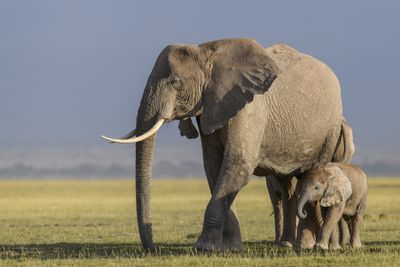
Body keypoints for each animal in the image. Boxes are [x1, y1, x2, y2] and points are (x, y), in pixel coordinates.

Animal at [101, 38, 342, 252]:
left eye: (175, 82)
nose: (153, 248)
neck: (206, 52)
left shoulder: (250, 108)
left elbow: (237, 164)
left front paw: (204, 247)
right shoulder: (210, 107)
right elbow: (214, 168)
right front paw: (230, 248)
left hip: (330, 128)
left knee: (312, 173)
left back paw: (305, 245)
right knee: (286, 185)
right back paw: (286, 244)